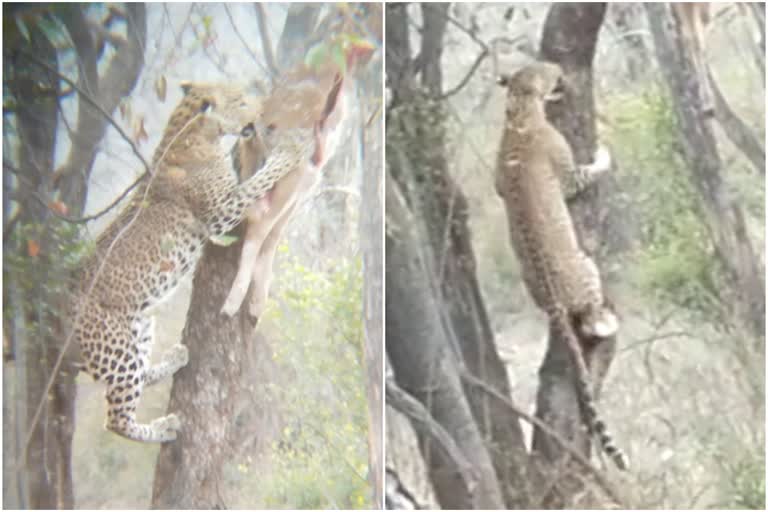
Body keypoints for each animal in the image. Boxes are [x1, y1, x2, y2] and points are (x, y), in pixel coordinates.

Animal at [73, 82, 320, 442]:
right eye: (241, 101)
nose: (262, 112)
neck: (193, 131)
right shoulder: (222, 212)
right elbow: (260, 179)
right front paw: (291, 149)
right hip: (116, 349)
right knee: (117, 420)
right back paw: (165, 427)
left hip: (140, 327)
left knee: (140, 376)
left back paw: (176, 358)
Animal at [496, 62, 628, 470]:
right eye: (546, 70)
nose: (558, 70)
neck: (519, 111)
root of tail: (554, 303)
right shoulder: (569, 177)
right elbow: (588, 172)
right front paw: (604, 154)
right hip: (587, 266)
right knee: (592, 318)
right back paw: (606, 318)